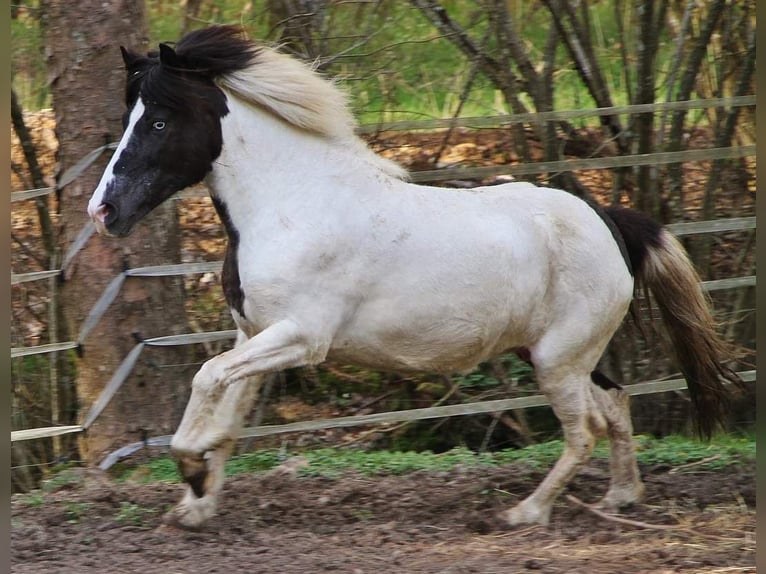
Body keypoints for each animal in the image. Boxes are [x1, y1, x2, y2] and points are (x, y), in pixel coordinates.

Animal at [87, 25, 740, 532]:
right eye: (129, 117)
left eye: (160, 123)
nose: (103, 211)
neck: (294, 205)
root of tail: (609, 220)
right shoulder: (254, 336)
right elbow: (225, 414)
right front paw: (196, 506)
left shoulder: (301, 338)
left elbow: (204, 382)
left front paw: (190, 467)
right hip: (559, 354)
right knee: (616, 404)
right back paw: (622, 497)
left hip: (559, 360)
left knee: (585, 430)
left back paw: (526, 513)